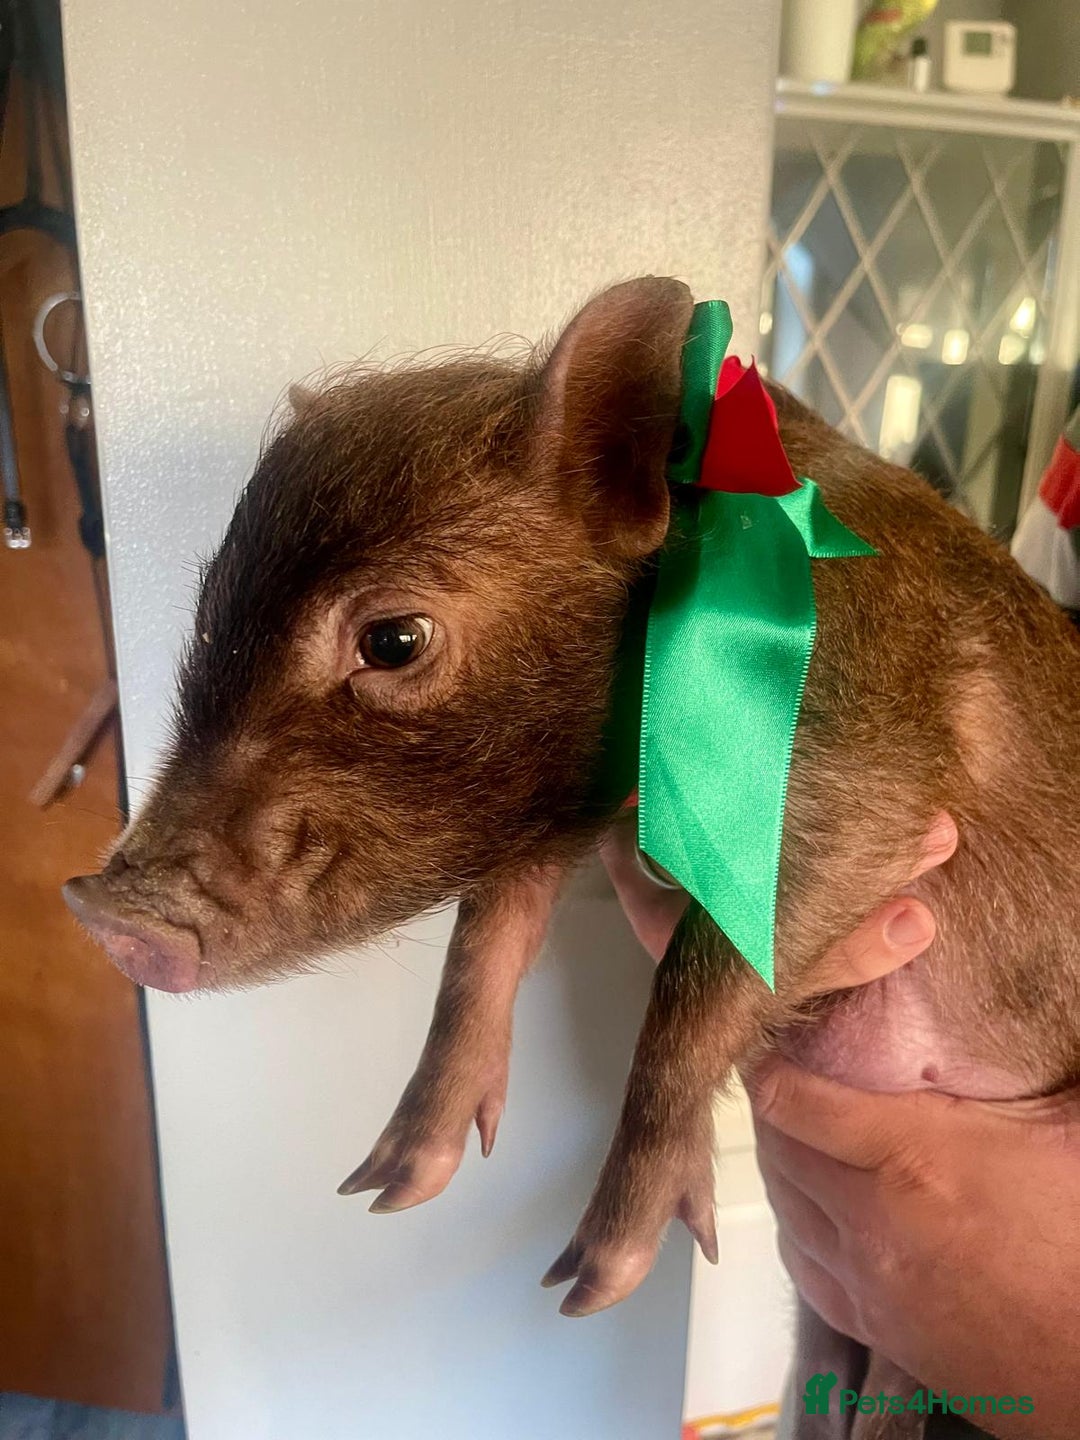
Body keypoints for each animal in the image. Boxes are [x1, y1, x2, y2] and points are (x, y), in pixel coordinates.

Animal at [64, 278, 1080, 1438]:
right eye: (208, 623)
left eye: (394, 640)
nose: (97, 910)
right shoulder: (552, 813)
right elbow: (486, 941)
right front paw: (389, 1184)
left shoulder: (877, 765)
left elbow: (700, 974)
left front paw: (589, 1284)